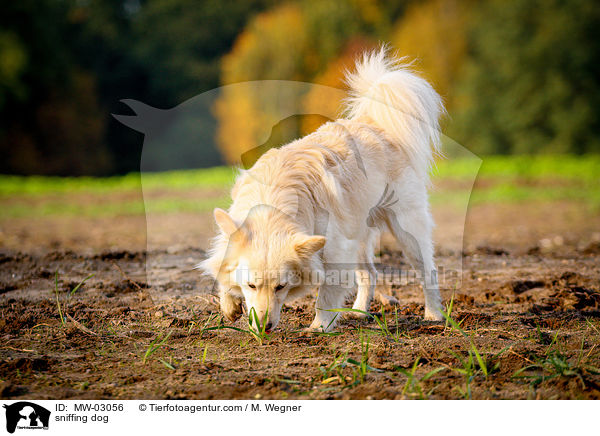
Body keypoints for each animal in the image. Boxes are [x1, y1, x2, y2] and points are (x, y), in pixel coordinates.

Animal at [202, 47, 446, 332]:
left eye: (281, 287)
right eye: (251, 285)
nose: (264, 328)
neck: (272, 204)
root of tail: (374, 122)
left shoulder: (335, 249)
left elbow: (327, 294)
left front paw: (318, 328)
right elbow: (222, 267)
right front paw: (229, 305)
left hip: (406, 228)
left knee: (427, 271)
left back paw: (434, 315)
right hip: (358, 233)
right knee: (369, 274)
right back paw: (359, 312)